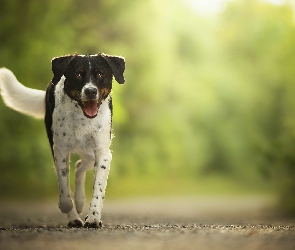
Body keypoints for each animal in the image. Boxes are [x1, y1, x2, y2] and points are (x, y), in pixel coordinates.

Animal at [0, 53, 126, 229]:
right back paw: (74, 216)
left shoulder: (103, 154)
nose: (90, 91)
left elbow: (98, 190)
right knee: (77, 169)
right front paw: (67, 207)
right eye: (78, 74)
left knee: (79, 167)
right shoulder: (59, 151)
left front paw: (93, 218)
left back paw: (80, 202)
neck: (82, 118)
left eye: (100, 74)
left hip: (91, 153)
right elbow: (64, 189)